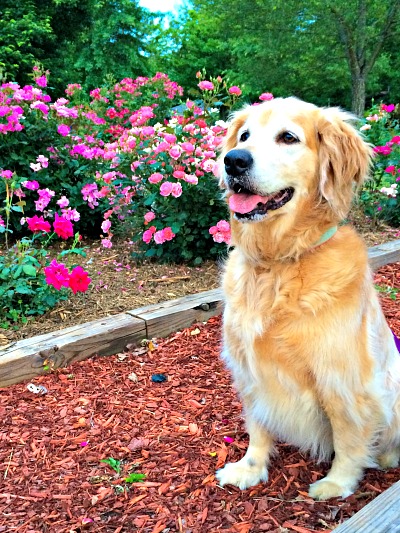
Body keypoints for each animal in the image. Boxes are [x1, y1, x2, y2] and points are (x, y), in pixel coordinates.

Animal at [216, 96, 400, 498]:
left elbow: (348, 439)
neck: (278, 263)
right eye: (244, 135)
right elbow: (257, 426)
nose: (233, 160)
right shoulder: (250, 371)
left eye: (288, 137)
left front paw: (337, 483)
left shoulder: (342, 381)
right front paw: (250, 468)